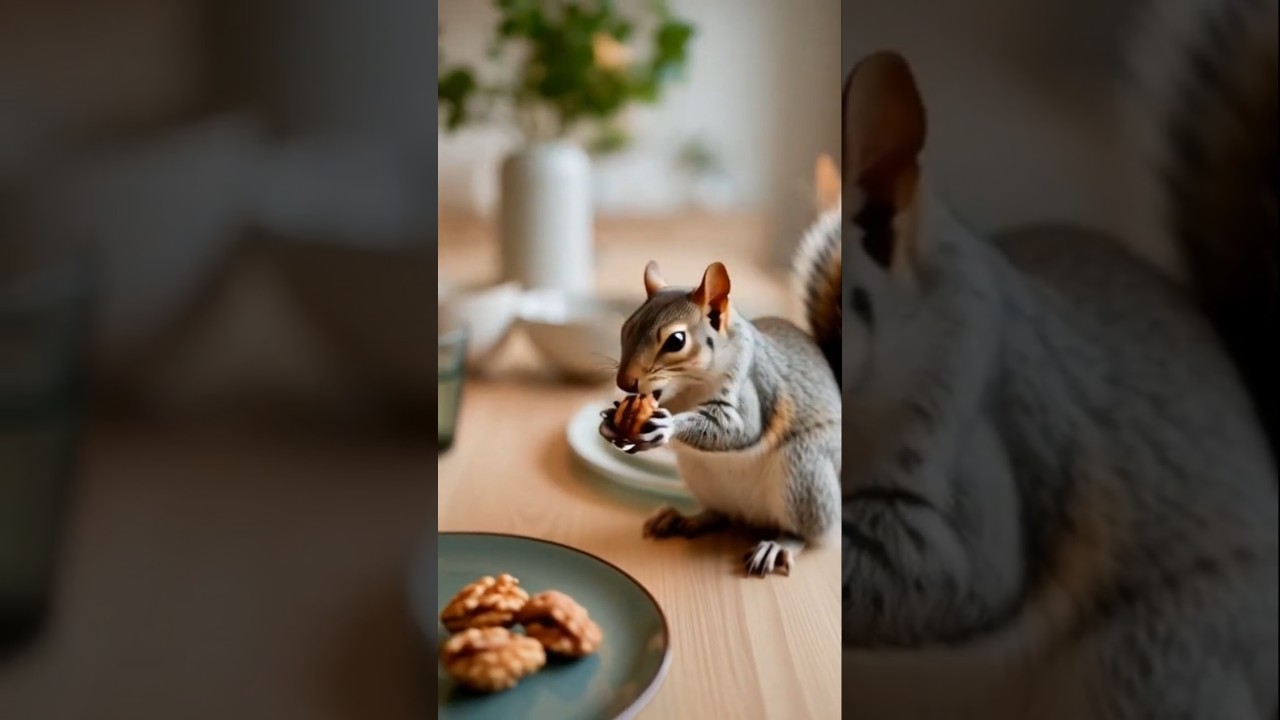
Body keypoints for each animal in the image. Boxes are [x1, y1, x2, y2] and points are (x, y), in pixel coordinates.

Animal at [596, 252, 841, 578]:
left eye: (676, 341)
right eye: (626, 328)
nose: (625, 383)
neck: (687, 390)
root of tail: (754, 516)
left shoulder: (750, 387)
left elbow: (739, 428)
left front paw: (667, 426)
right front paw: (612, 421)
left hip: (805, 471)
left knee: (809, 532)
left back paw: (779, 545)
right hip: (701, 476)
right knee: (722, 514)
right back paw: (683, 519)